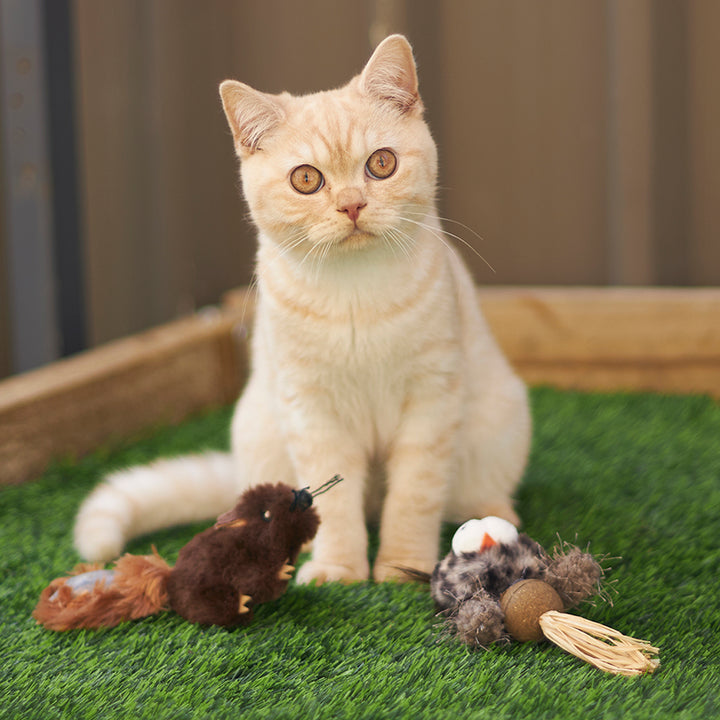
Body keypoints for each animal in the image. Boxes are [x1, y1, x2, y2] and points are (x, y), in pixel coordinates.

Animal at [74, 35, 528, 584]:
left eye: (381, 164)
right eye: (306, 179)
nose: (352, 205)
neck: (355, 294)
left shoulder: (431, 400)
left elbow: (414, 496)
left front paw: (403, 567)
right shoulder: (311, 410)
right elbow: (331, 498)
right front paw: (339, 568)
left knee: (469, 496)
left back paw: (495, 519)